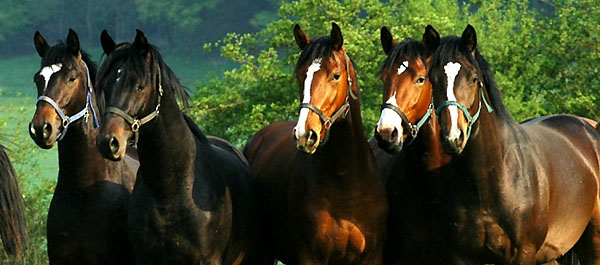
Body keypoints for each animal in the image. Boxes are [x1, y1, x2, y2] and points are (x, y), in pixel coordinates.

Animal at [241, 23, 386, 264]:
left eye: (336, 75)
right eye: (300, 76)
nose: (304, 134)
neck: (345, 185)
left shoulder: (371, 258)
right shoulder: (309, 257)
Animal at [426, 24, 600, 262]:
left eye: (473, 79)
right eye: (432, 79)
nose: (453, 136)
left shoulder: (522, 253)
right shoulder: (461, 256)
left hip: (593, 242)